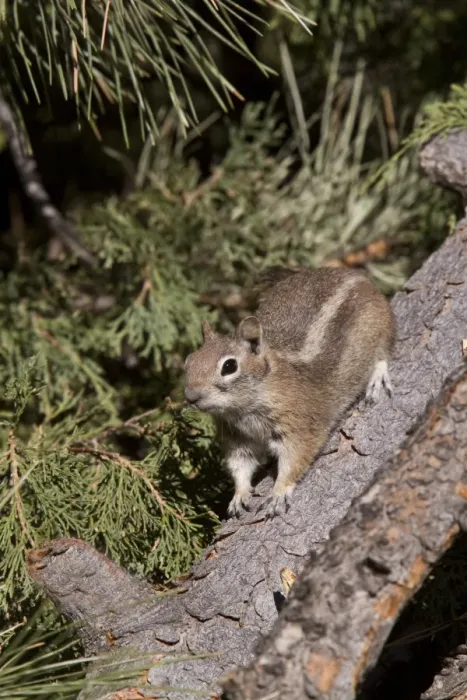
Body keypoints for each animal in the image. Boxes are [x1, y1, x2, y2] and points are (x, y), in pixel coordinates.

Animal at [184, 266, 396, 519]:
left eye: (229, 366)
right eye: (189, 361)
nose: (190, 396)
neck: (243, 409)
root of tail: (356, 275)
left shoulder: (299, 425)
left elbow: (294, 459)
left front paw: (278, 493)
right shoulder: (237, 437)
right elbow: (240, 465)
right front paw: (239, 495)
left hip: (380, 324)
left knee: (384, 353)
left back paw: (377, 379)